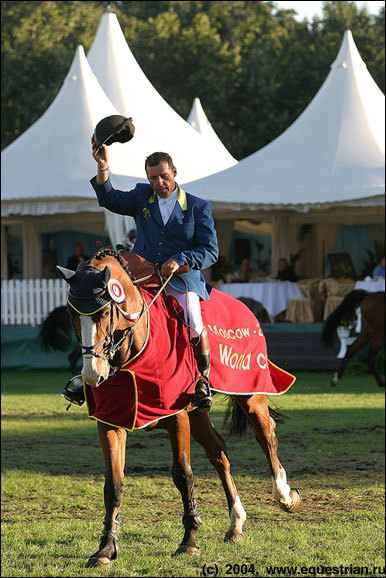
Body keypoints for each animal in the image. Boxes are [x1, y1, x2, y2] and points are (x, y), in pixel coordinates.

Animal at [56, 245, 302, 564]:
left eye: (105, 312)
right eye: (71, 313)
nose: (92, 375)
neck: (135, 345)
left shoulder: (176, 417)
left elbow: (184, 475)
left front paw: (189, 541)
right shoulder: (111, 420)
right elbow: (114, 485)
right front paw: (105, 549)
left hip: (249, 394)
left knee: (266, 437)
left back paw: (285, 497)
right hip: (198, 412)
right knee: (218, 452)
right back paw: (236, 524)